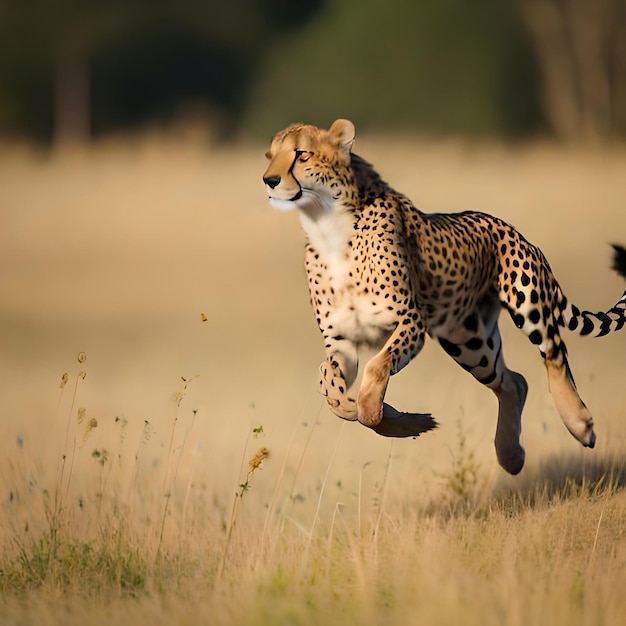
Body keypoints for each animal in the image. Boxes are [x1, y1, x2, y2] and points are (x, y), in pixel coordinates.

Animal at [262, 118, 624, 472]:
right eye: (270, 155)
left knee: (554, 354)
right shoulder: (341, 340)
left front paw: (381, 413)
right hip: (468, 341)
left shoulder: (410, 322)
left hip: (525, 298)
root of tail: (511, 229)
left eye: (301, 154)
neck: (325, 225)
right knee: (513, 382)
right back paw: (510, 455)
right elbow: (329, 382)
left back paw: (579, 424)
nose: (269, 180)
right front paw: (382, 414)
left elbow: (376, 372)